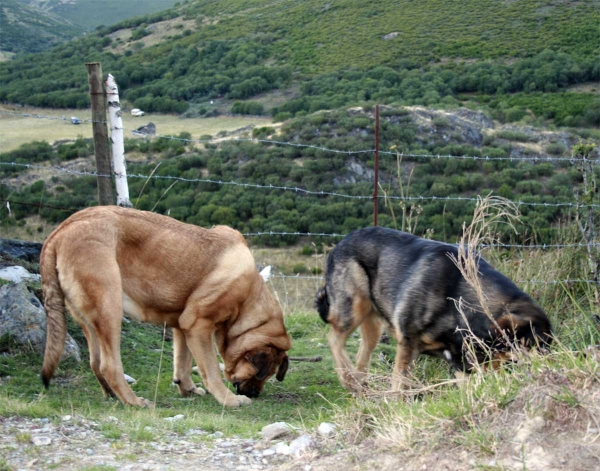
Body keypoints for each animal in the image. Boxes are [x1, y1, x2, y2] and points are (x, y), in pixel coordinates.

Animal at [39, 206, 290, 406]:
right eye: (264, 374)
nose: (255, 394)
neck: (247, 301)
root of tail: (60, 231)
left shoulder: (183, 325)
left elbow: (183, 362)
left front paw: (187, 388)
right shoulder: (199, 325)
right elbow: (211, 371)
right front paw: (229, 400)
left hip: (88, 320)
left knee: (96, 361)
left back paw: (113, 396)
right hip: (110, 309)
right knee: (109, 366)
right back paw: (133, 401)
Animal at [316, 227, 552, 392]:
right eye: (536, 346)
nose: (550, 369)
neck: (460, 301)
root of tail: (341, 241)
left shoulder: (462, 363)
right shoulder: (408, 344)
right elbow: (399, 384)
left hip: (373, 322)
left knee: (362, 352)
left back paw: (359, 385)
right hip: (353, 308)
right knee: (334, 339)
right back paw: (347, 378)